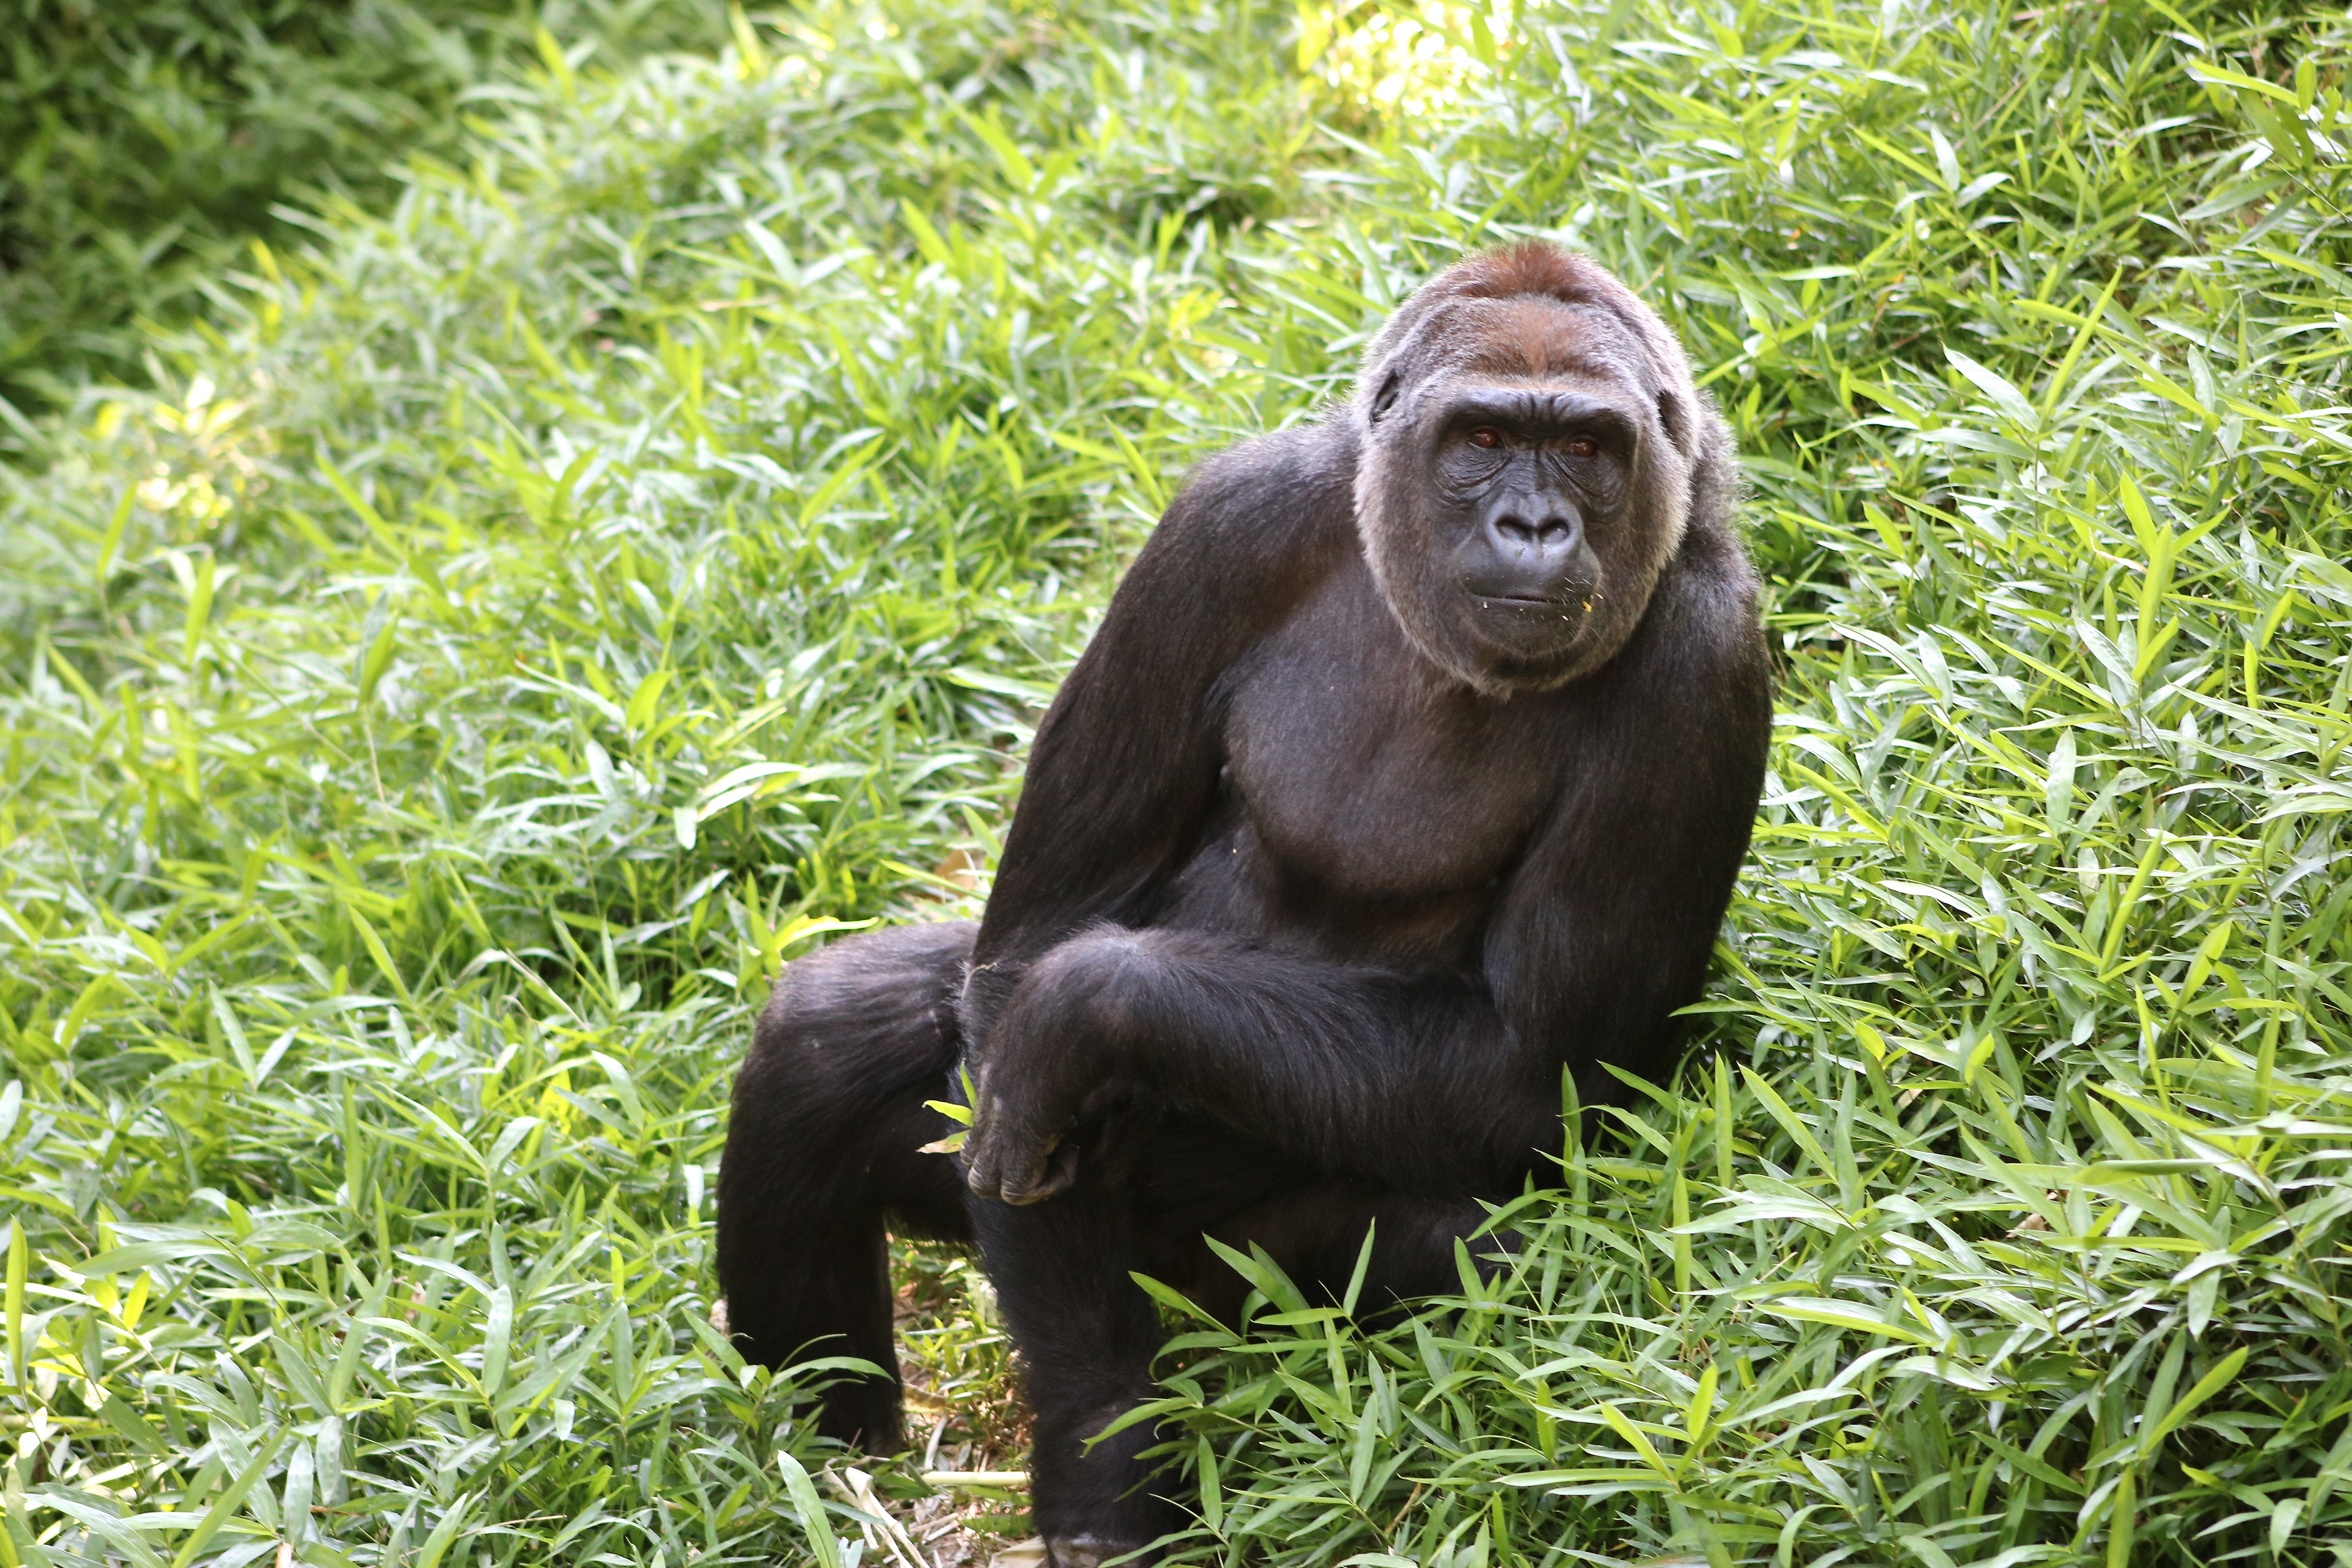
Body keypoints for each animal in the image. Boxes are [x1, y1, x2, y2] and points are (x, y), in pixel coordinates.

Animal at [715, 240, 1769, 1561]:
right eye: (1481, 436)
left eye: (1587, 447)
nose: (1534, 523)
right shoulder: (1224, 527)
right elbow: (1028, 945)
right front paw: (1102, 1433)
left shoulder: (1703, 658)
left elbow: (1530, 1071)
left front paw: (1096, 1008)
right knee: (827, 1042)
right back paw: (826, 1466)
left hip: (1256, 1286)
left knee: (1510, 1257)